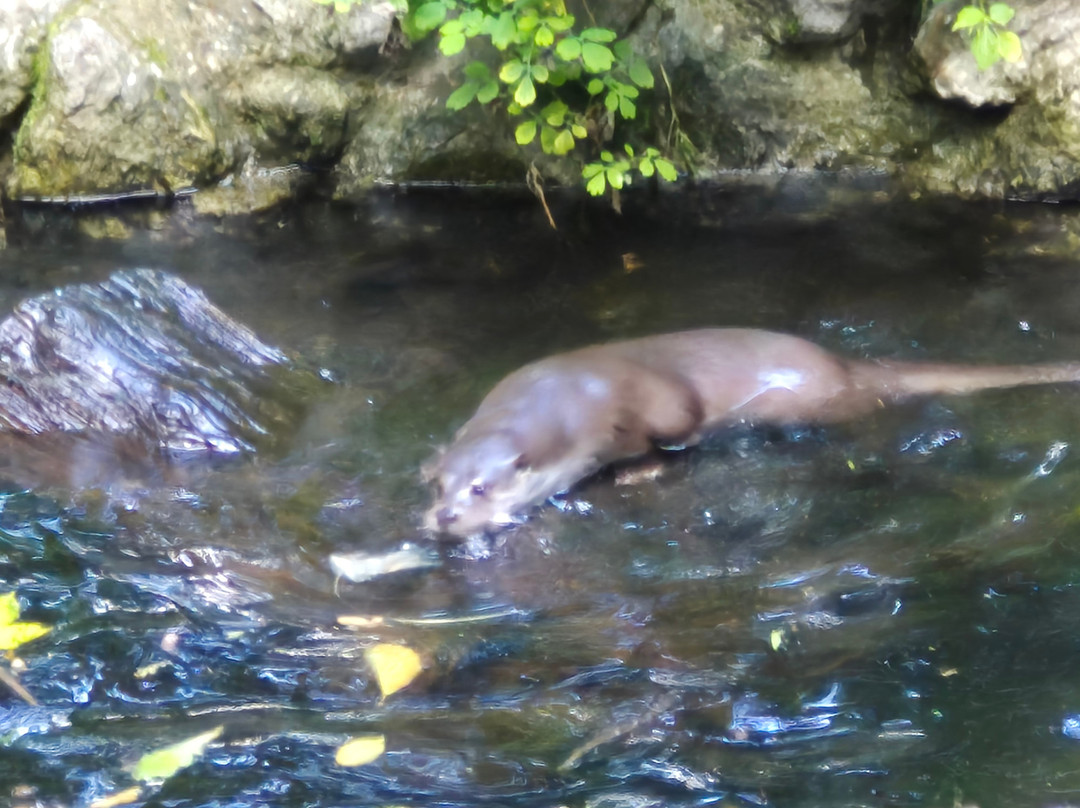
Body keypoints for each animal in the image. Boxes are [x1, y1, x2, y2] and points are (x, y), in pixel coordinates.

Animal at [423, 328, 1080, 537]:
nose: (446, 518)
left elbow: (675, 431)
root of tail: (846, 367)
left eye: (482, 489)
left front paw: (642, 470)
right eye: (440, 487)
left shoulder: (642, 403)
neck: (559, 398)